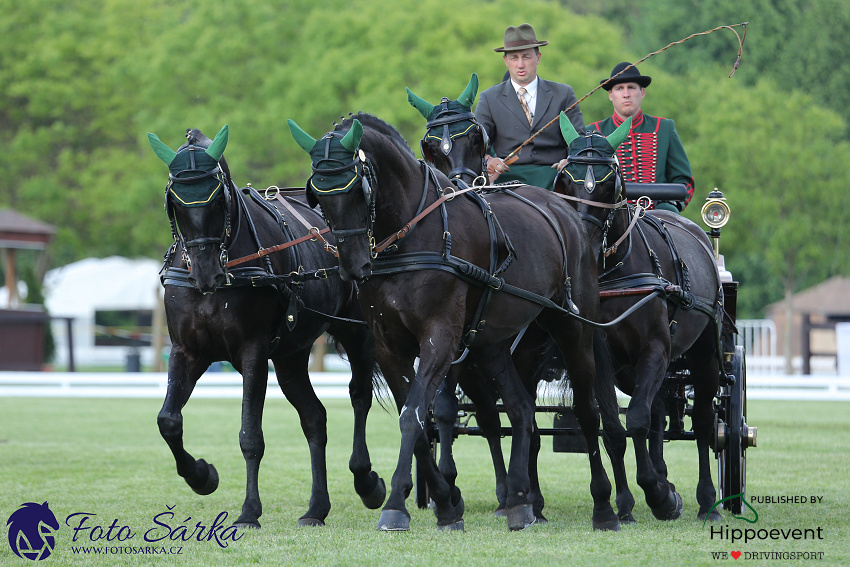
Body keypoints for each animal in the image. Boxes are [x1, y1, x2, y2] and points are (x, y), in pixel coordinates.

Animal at [147, 126, 388, 532]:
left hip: (358, 333)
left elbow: (250, 436)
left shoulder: (253, 353)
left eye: (217, 198)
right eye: (175, 202)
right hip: (291, 356)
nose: (205, 275)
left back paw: (367, 481)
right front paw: (201, 476)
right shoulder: (187, 351)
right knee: (314, 418)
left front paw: (249, 512)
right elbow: (168, 421)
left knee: (360, 397)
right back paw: (316, 508)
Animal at [286, 112, 616, 532]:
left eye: (357, 188)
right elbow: (416, 419)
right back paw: (520, 502)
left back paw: (604, 507)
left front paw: (396, 505)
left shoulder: (440, 337)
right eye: (319, 194)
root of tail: (565, 211)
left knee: (588, 413)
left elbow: (413, 416)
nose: (353, 267)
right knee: (521, 408)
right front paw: (444, 503)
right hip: (491, 343)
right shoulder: (388, 346)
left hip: (574, 329)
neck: (411, 235)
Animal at [556, 114, 724, 524]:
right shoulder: (601, 357)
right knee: (659, 412)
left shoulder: (655, 347)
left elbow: (637, 420)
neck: (615, 271)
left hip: (704, 355)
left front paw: (660, 496)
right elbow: (617, 429)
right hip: (634, 371)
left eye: (609, 181)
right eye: (566, 178)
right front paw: (627, 502)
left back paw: (707, 500)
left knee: (702, 423)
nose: (581, 243)